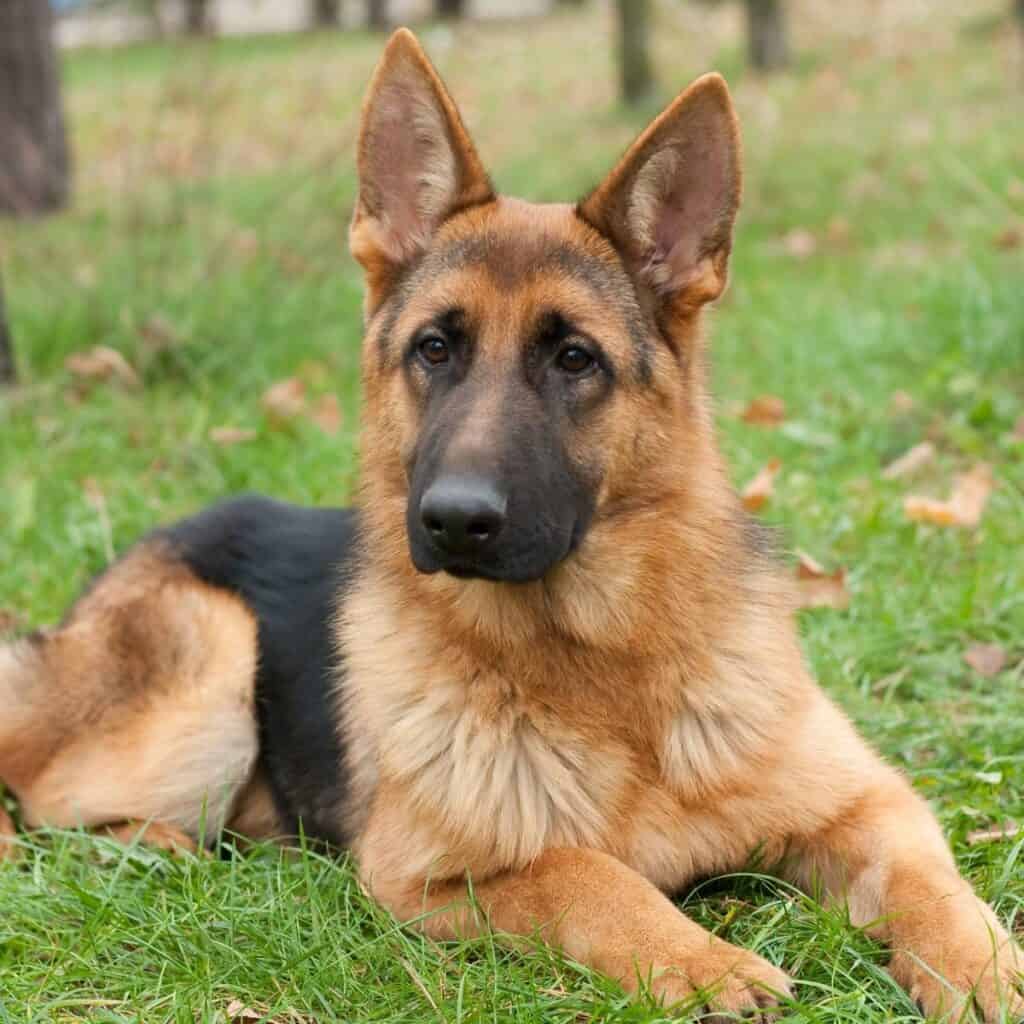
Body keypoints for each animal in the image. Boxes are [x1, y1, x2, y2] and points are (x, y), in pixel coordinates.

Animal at [2, 28, 1024, 1019]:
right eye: (434, 349)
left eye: (575, 358)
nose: (455, 520)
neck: (605, 670)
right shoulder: (434, 881)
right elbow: (588, 873)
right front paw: (701, 963)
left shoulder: (869, 807)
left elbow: (935, 887)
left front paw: (982, 967)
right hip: (210, 667)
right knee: (47, 804)